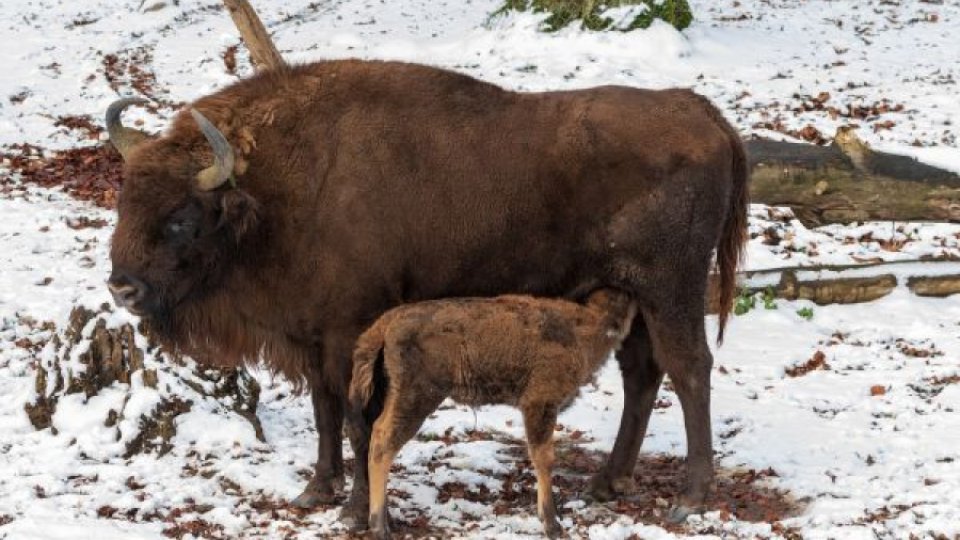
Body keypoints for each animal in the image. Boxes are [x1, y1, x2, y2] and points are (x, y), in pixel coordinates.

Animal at [348, 292, 632, 540]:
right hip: (417, 398)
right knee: (383, 443)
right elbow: (544, 458)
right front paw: (552, 525)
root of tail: (390, 319)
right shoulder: (540, 405)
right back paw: (380, 527)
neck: (581, 327)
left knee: (377, 433)